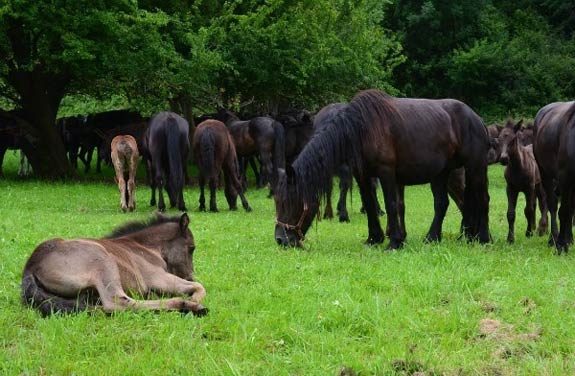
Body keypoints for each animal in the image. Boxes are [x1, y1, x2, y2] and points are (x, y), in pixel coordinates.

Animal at [22, 213, 207, 316]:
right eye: (191, 248)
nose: (190, 275)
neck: (145, 247)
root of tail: (31, 265)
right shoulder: (159, 278)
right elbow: (199, 286)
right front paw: (193, 299)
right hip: (103, 260)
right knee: (117, 303)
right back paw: (187, 306)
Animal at [274, 90, 490, 250]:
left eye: (291, 201)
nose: (280, 239)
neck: (360, 130)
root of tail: (476, 118)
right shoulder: (362, 175)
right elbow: (370, 205)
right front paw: (374, 238)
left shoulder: (387, 173)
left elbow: (391, 204)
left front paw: (394, 242)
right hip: (441, 173)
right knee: (443, 203)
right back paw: (434, 237)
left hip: (475, 167)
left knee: (482, 199)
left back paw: (484, 238)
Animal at [532, 100, 575, 253]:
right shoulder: (565, 177)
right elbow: (564, 211)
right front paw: (561, 245)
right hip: (546, 174)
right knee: (553, 205)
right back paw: (553, 239)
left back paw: (569, 238)